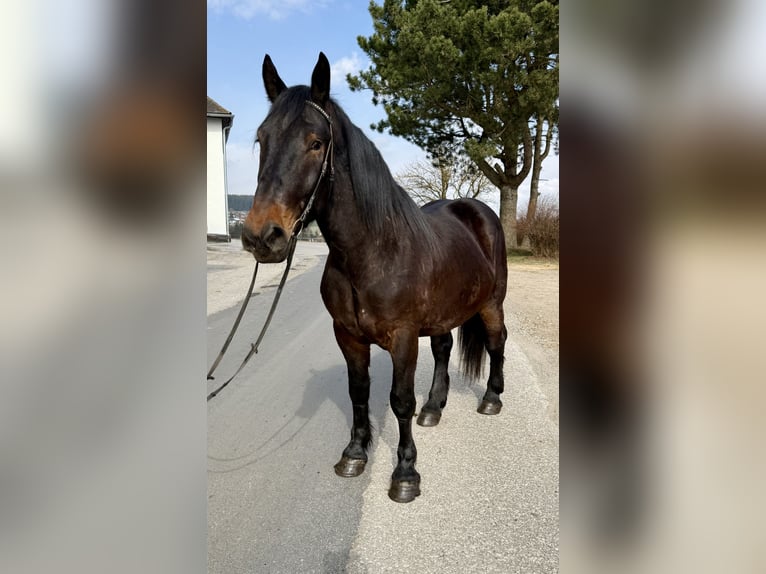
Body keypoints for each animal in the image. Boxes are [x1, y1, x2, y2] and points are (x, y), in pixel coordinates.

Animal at [242, 52, 508, 503]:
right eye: (261, 139)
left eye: (316, 142)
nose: (263, 236)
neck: (371, 253)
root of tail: (478, 210)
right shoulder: (347, 335)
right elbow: (359, 392)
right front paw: (353, 454)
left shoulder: (402, 337)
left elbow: (399, 400)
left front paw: (405, 474)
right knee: (443, 349)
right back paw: (433, 409)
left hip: (491, 303)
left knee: (495, 342)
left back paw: (491, 399)